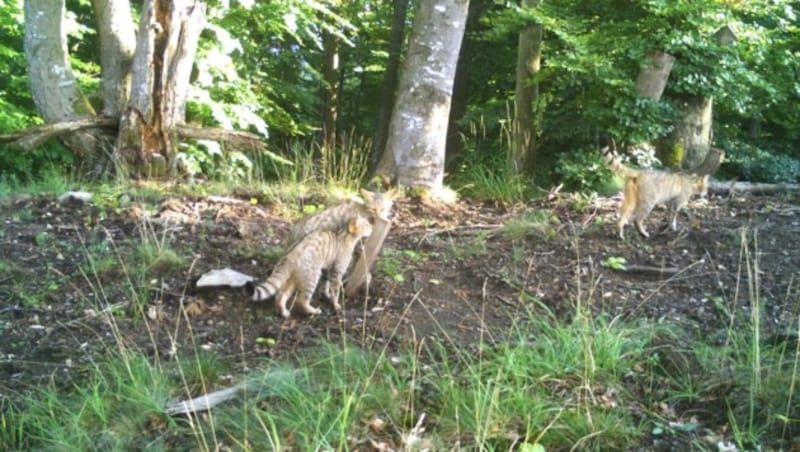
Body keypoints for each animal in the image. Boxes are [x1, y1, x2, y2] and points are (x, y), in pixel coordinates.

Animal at [245, 216, 374, 318]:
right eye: (367, 225)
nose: (372, 227)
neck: (344, 235)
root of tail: (291, 255)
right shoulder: (336, 270)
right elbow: (335, 289)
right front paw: (336, 304)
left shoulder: (327, 269)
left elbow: (326, 285)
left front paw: (327, 295)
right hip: (312, 276)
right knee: (300, 301)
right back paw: (312, 311)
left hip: (292, 279)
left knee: (281, 295)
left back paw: (284, 312)